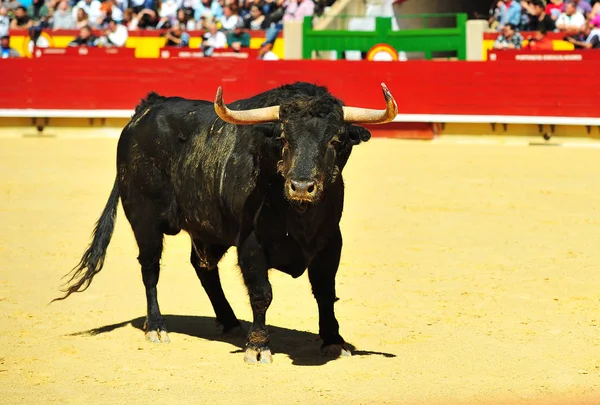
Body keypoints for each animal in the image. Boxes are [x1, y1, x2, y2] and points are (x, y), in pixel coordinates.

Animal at [52, 80, 398, 362]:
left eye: (337, 140)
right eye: (283, 138)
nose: (301, 186)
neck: (298, 215)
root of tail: (145, 108)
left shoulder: (330, 243)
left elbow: (326, 292)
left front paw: (333, 341)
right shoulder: (251, 244)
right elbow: (262, 293)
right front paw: (258, 347)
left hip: (208, 230)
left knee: (203, 268)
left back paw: (230, 322)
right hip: (144, 220)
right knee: (150, 269)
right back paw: (157, 327)